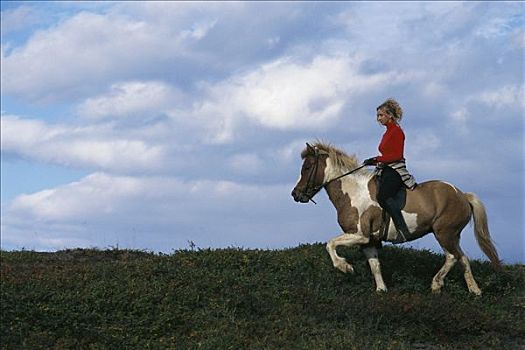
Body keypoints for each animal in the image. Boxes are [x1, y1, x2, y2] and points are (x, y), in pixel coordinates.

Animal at [290, 141, 500, 294]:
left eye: (307, 167)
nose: (295, 194)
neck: (353, 192)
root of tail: (463, 195)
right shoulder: (369, 242)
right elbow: (375, 266)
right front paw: (381, 290)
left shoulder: (360, 235)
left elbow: (330, 243)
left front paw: (344, 267)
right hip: (453, 235)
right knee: (463, 258)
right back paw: (475, 290)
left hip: (444, 233)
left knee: (452, 257)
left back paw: (436, 284)